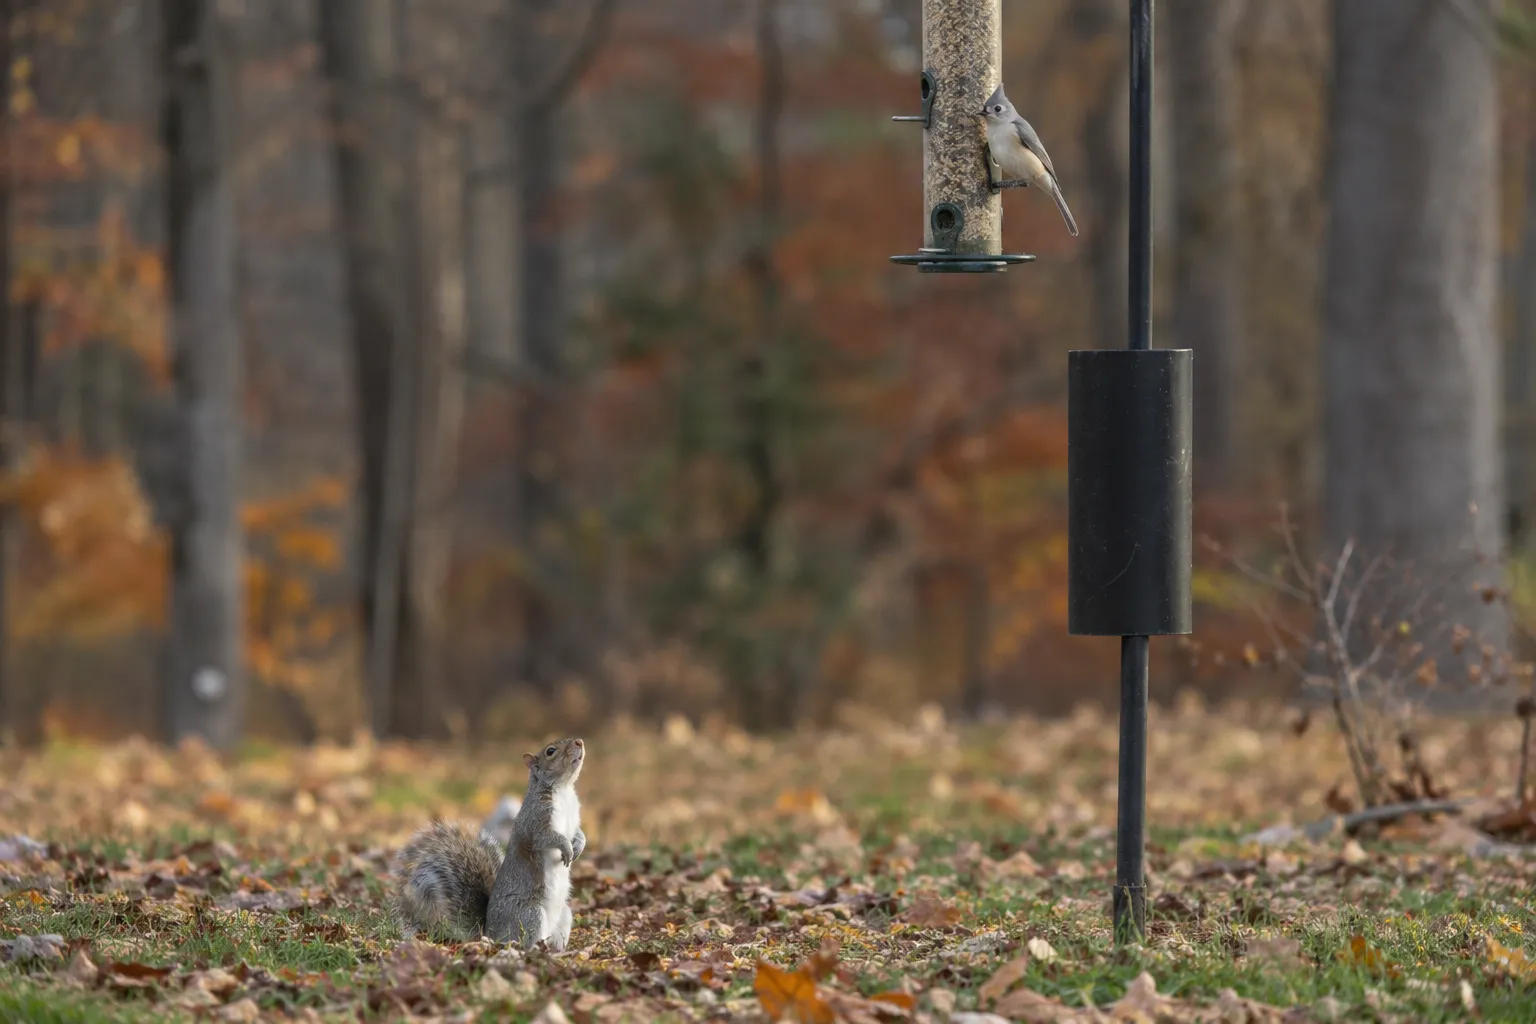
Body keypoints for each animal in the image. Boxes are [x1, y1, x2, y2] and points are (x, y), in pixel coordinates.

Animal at [390, 737, 587, 949]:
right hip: (530, 915)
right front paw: (566, 846)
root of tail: (489, 932)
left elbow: (578, 833)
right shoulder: (535, 821)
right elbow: (544, 838)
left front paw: (578, 845)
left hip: (564, 916)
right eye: (550, 751)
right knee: (523, 941)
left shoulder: (573, 817)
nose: (579, 741)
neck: (563, 789)